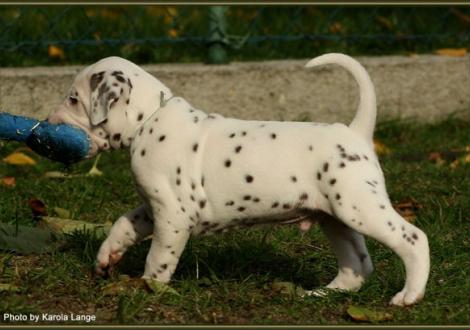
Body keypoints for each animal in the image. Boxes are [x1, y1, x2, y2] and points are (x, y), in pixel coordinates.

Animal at [47, 52, 430, 306]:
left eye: (74, 98)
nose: (47, 123)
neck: (149, 119)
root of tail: (355, 132)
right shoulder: (153, 208)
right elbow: (122, 225)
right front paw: (106, 258)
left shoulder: (172, 216)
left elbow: (158, 258)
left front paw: (149, 288)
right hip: (334, 217)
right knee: (357, 265)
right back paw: (323, 293)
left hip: (358, 207)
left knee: (413, 238)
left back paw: (409, 295)